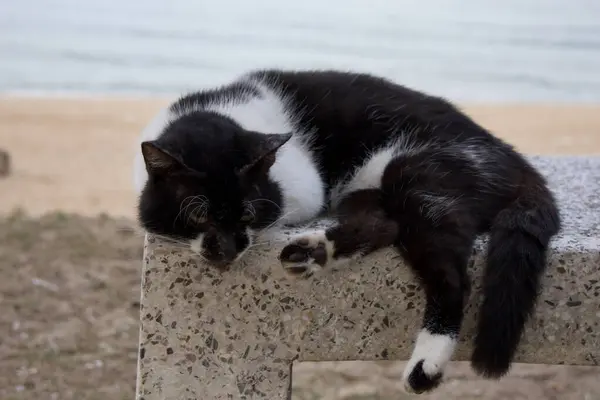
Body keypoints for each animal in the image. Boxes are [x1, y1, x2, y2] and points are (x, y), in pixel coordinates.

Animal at [134, 69, 560, 394]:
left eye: (249, 212)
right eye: (197, 215)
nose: (227, 249)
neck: (219, 109)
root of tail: (518, 163)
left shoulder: (305, 187)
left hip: (417, 176)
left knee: (452, 278)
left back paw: (425, 367)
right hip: (368, 190)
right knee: (386, 224)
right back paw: (314, 253)